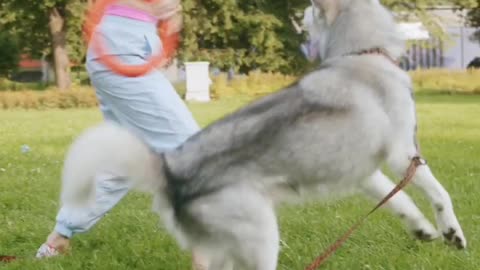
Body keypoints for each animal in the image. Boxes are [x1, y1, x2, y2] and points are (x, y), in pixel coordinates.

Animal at [62, 1, 466, 268]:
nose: (303, 12)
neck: (362, 53)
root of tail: (170, 173)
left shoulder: (366, 172)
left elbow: (399, 201)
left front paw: (421, 229)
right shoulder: (403, 154)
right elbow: (440, 194)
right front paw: (452, 232)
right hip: (260, 235)